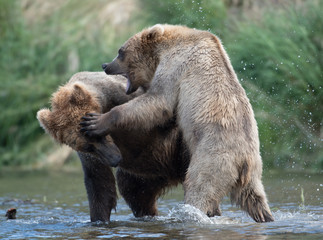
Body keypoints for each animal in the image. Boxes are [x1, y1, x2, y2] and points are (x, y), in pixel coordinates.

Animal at [37, 72, 190, 222]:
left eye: (99, 135)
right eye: (87, 147)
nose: (115, 159)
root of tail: (172, 175)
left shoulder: (125, 97)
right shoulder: (92, 156)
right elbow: (99, 183)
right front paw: (99, 219)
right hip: (148, 174)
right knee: (134, 191)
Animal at [81, 23, 276, 222]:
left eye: (121, 51)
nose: (105, 65)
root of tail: (244, 161)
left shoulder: (176, 65)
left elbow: (159, 100)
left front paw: (95, 122)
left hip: (213, 158)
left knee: (199, 187)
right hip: (254, 173)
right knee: (255, 198)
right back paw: (266, 216)